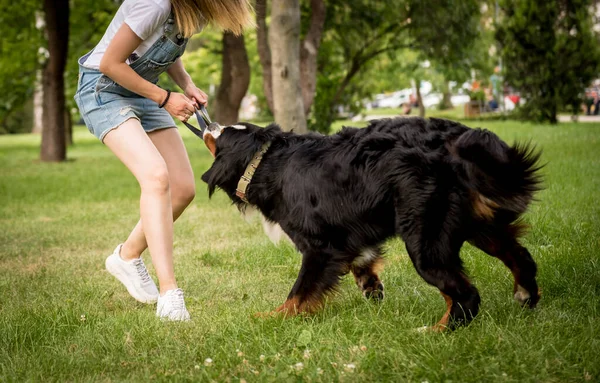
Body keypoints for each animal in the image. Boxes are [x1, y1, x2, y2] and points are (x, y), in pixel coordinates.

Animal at [200, 117, 544, 330]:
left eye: (223, 134)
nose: (210, 122)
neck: (265, 162)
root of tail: (453, 139)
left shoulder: (319, 248)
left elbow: (298, 293)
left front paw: (271, 318)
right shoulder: (347, 238)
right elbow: (361, 262)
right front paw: (371, 289)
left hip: (425, 241)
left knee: (465, 295)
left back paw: (435, 331)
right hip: (477, 226)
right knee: (521, 258)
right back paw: (526, 296)